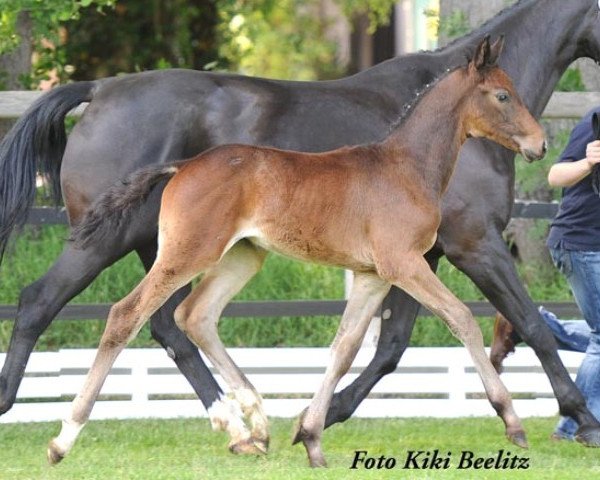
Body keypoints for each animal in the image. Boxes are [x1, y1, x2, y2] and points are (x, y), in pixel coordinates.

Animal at [51, 36, 548, 464]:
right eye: (502, 96)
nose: (539, 144)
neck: (406, 167)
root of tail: (183, 166)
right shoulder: (404, 264)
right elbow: (462, 320)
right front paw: (513, 423)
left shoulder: (372, 275)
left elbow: (344, 348)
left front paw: (310, 436)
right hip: (187, 253)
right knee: (127, 314)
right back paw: (63, 439)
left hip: (242, 256)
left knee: (194, 315)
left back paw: (256, 425)